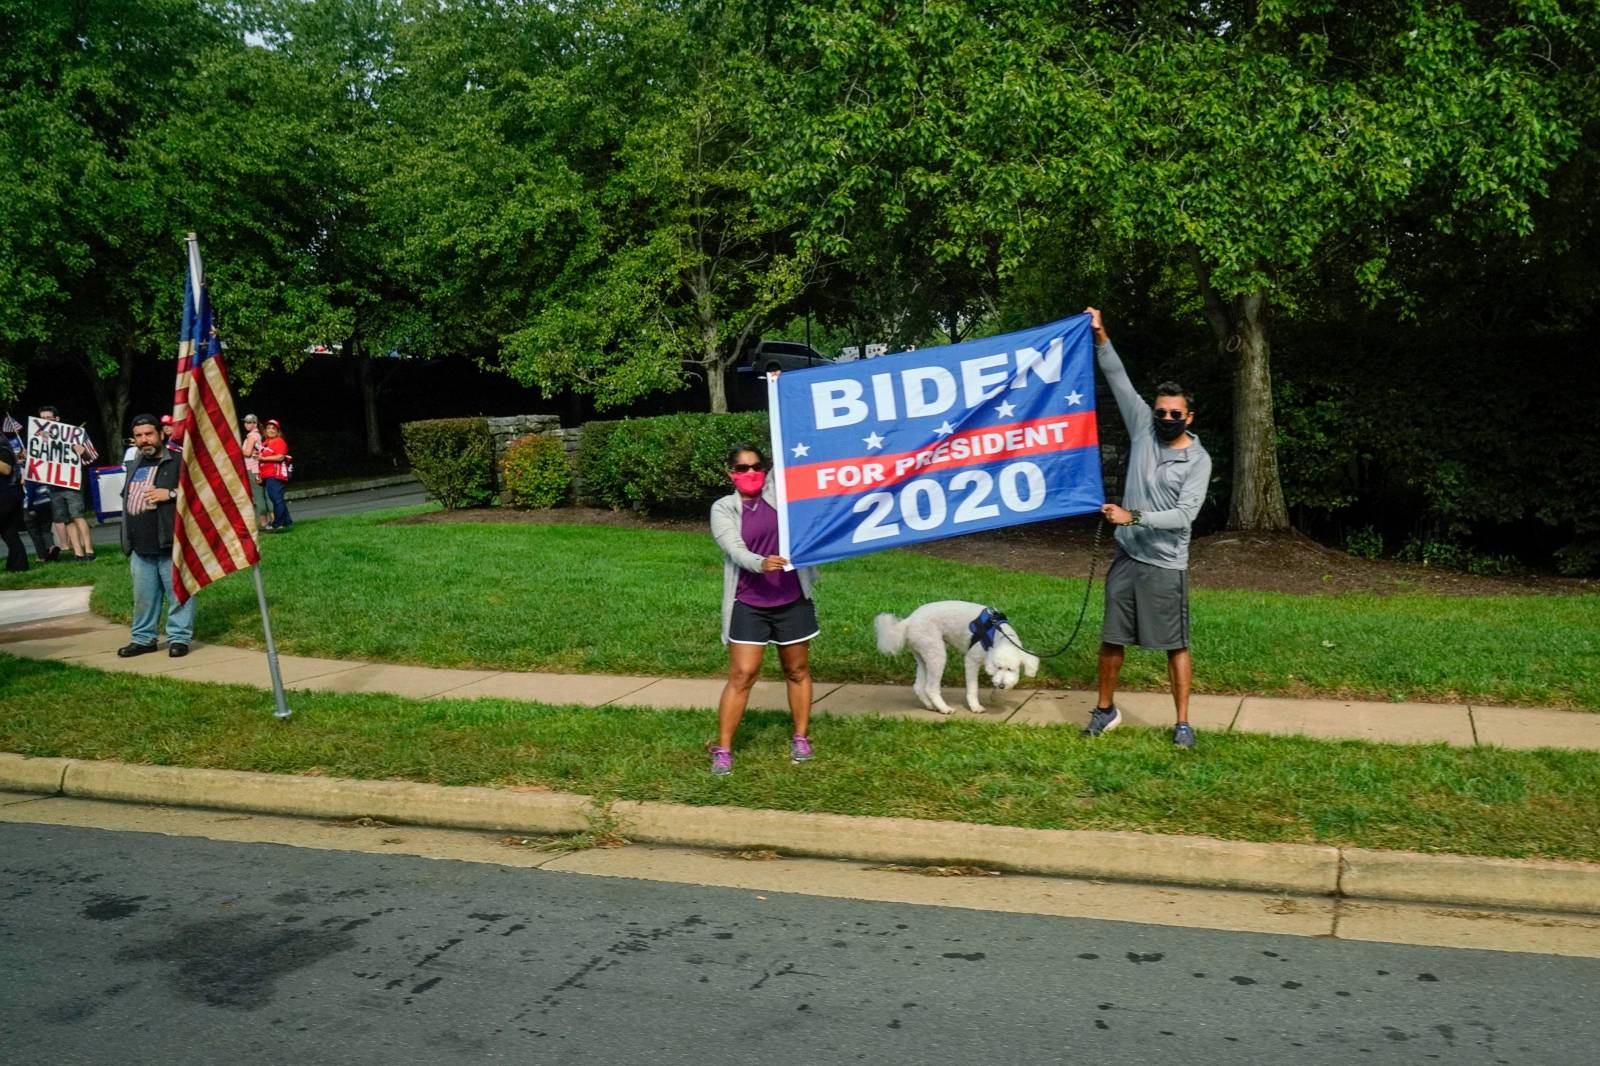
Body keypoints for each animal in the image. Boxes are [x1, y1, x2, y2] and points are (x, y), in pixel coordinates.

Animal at [870, 598, 1043, 713]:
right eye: (998, 667)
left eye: (1010, 669)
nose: (1001, 685)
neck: (998, 634)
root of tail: (908, 622)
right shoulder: (971, 660)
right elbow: (973, 687)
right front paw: (975, 706)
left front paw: (997, 694)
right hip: (936, 653)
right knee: (931, 687)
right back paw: (944, 708)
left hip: (922, 655)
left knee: (919, 686)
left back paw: (931, 706)